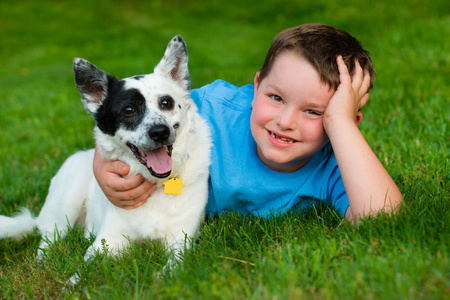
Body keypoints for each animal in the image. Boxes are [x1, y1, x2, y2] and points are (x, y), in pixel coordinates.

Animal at [0, 35, 213, 276]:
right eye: (128, 110)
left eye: (166, 102)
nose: (160, 132)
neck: (156, 186)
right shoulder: (108, 241)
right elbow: (81, 273)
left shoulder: (181, 239)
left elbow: (173, 266)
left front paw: (162, 277)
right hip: (65, 204)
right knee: (48, 241)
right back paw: (42, 263)